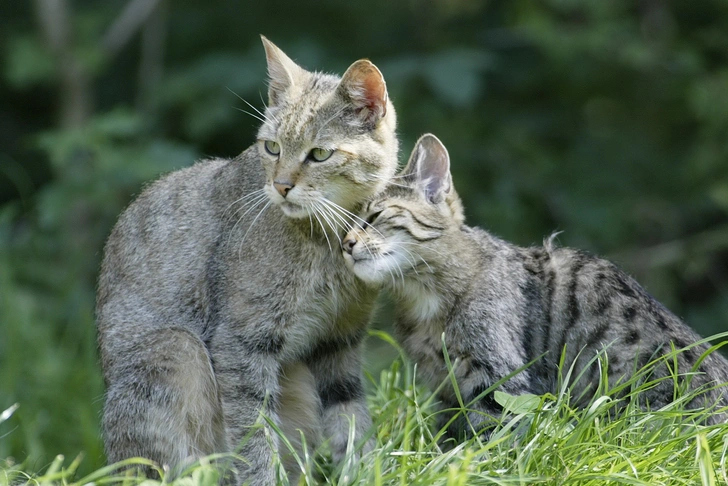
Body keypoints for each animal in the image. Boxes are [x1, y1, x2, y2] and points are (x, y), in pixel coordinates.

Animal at [96, 36, 398, 484]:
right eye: (272, 148)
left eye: (319, 154)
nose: (281, 185)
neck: (329, 238)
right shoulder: (242, 343)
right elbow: (255, 436)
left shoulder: (340, 339)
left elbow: (351, 421)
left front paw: (362, 472)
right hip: (177, 348)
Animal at [342, 133, 728, 440]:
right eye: (343, 226)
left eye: (373, 217)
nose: (345, 244)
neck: (424, 296)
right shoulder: (445, 389)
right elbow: (449, 436)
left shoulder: (495, 379)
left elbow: (492, 437)